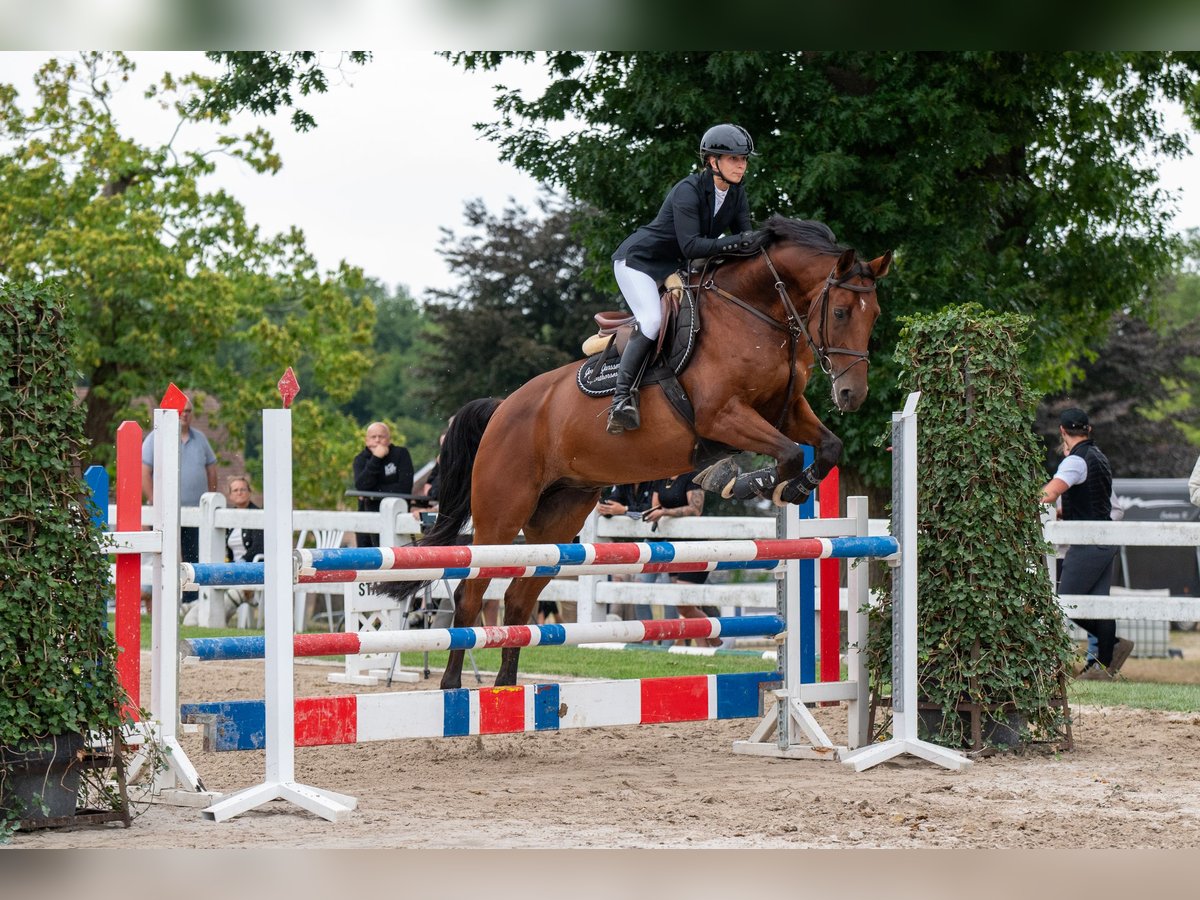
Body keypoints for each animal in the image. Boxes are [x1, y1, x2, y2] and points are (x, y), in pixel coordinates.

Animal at [391, 215, 891, 689]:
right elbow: (786, 453)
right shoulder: (722, 417)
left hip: (559, 516)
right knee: (471, 595)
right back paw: (455, 689)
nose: (852, 395)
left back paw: (507, 696)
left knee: (518, 600)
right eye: (841, 311)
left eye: (875, 315)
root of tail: (501, 409)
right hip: (501, 515)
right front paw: (751, 482)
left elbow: (827, 446)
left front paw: (795, 485)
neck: (754, 315)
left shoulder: (784, 411)